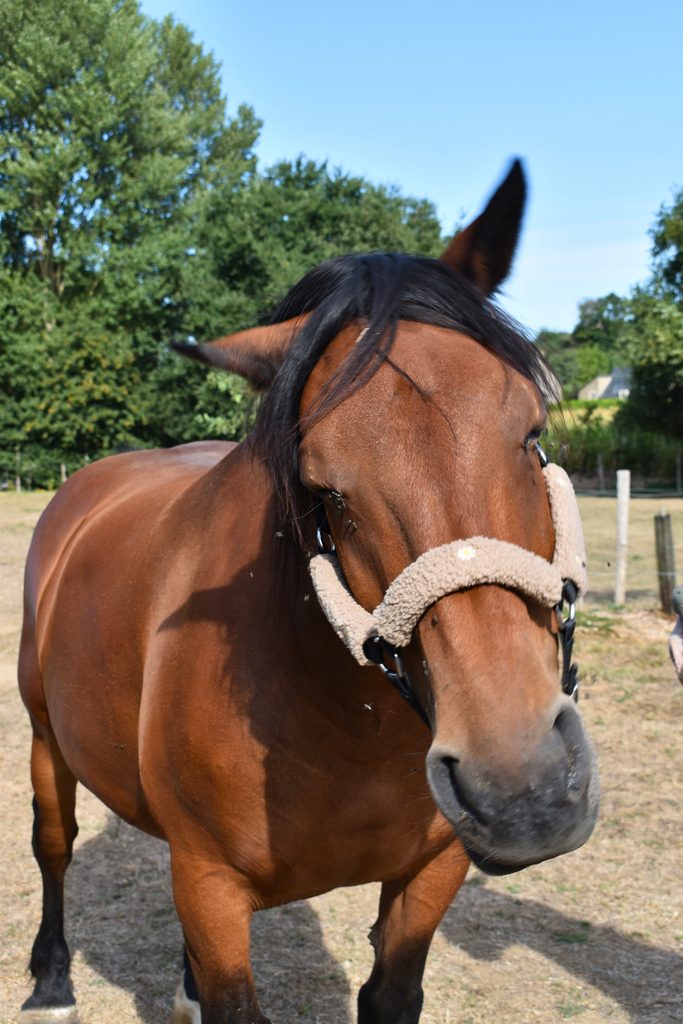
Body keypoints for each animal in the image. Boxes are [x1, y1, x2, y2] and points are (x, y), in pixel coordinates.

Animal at [18, 159, 599, 1024]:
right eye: (325, 490)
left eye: (529, 435)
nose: (523, 791)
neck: (344, 722)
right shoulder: (212, 889)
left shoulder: (431, 874)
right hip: (45, 738)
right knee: (52, 847)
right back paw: (52, 983)